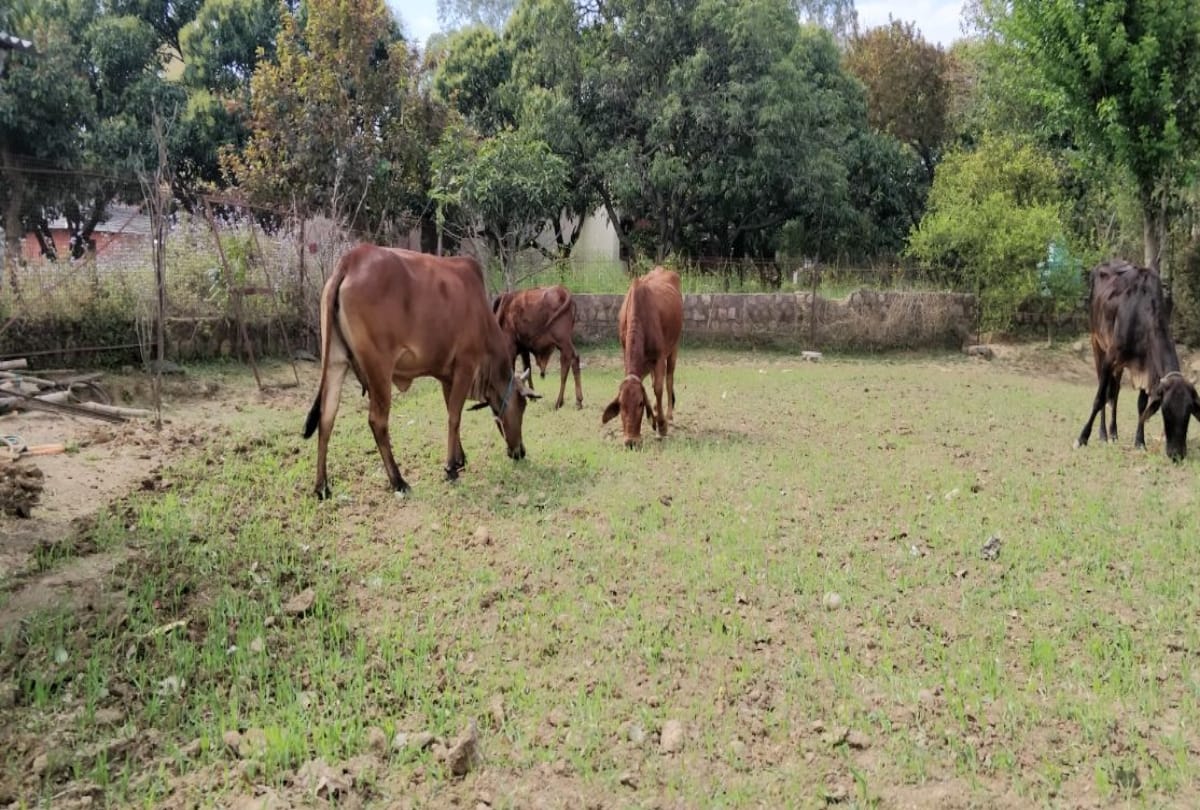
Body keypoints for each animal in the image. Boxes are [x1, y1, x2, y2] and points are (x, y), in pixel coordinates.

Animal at [303, 245, 539, 499]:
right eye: (522, 406)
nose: (520, 452)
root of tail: (352, 259)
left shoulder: (448, 377)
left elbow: (451, 412)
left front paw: (459, 459)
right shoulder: (465, 366)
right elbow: (454, 417)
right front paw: (450, 468)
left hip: (335, 361)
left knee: (326, 418)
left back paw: (322, 486)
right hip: (379, 369)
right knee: (377, 421)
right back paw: (398, 481)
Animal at [602, 266, 683, 448]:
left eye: (640, 404)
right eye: (621, 406)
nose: (631, 442)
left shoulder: (659, 357)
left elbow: (658, 388)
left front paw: (661, 426)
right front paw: (654, 415)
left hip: (674, 348)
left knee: (669, 379)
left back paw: (668, 415)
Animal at [1075, 258, 1200, 460]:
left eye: (1189, 411)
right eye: (1165, 410)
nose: (1177, 454)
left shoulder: (1147, 368)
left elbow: (1141, 405)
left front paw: (1140, 442)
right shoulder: (1110, 357)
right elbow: (1099, 398)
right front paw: (1082, 438)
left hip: (1119, 367)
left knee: (1115, 393)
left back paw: (1114, 433)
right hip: (1097, 344)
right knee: (1105, 391)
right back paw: (1103, 434)